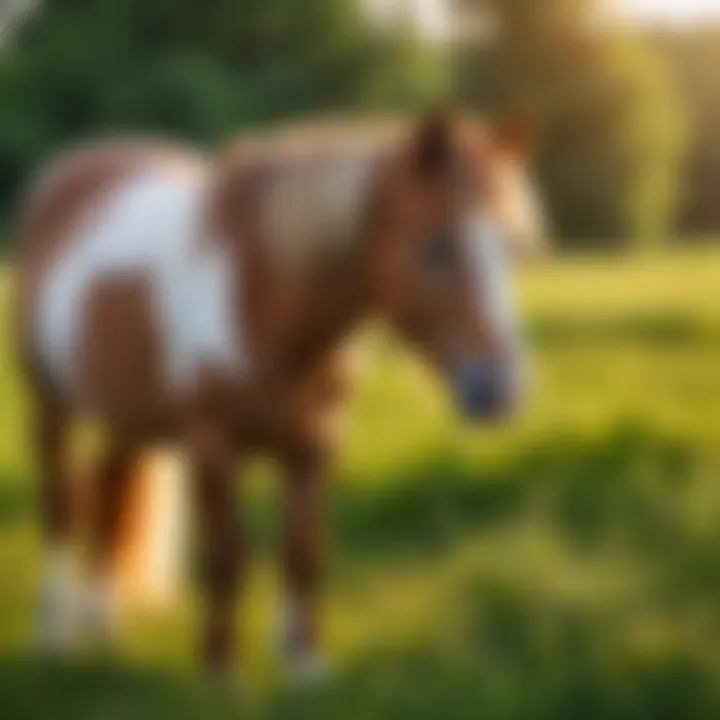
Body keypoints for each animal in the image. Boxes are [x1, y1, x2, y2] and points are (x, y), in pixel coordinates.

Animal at [15, 112, 544, 680]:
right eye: (436, 246)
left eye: (512, 247)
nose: (500, 389)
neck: (257, 297)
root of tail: (71, 172)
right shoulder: (213, 449)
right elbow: (226, 557)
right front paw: (221, 669)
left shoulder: (313, 447)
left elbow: (303, 551)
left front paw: (304, 664)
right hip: (49, 404)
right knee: (60, 504)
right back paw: (53, 633)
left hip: (128, 415)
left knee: (108, 491)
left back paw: (101, 625)